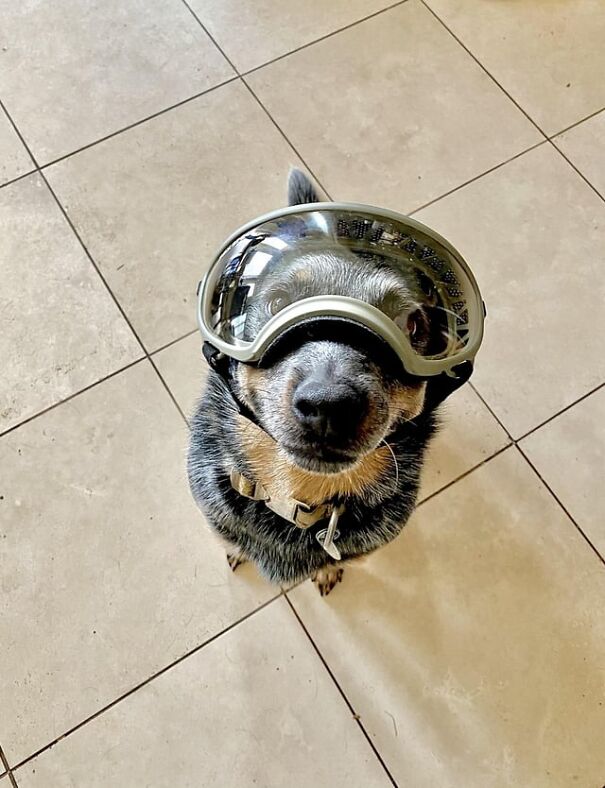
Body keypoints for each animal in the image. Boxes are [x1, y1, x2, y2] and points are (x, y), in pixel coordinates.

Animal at [186, 169, 442, 596]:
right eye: (279, 302)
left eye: (410, 324)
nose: (329, 405)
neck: (295, 491)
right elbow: (231, 538)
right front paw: (237, 550)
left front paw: (326, 570)